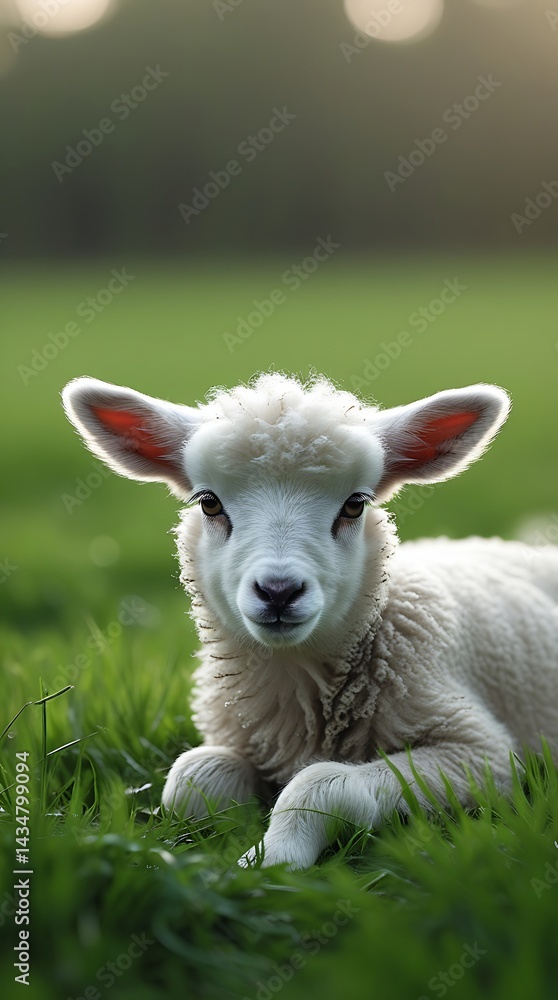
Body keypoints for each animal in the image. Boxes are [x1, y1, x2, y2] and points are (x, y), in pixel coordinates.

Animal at [62, 373, 558, 870]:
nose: (279, 592)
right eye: (209, 503)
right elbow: (193, 779)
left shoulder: (482, 753)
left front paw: (272, 857)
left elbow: (326, 783)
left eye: (355, 505)